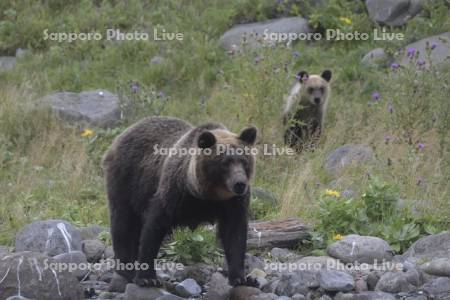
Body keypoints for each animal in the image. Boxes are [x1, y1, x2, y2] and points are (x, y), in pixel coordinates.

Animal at [102, 116, 256, 290]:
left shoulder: (233, 203)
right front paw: (147, 277)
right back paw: (126, 268)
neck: (208, 195)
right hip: (127, 180)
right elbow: (153, 228)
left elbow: (234, 234)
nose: (240, 184)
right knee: (123, 223)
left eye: (244, 161)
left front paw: (242, 278)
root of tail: (123, 133)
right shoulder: (174, 194)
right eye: (225, 162)